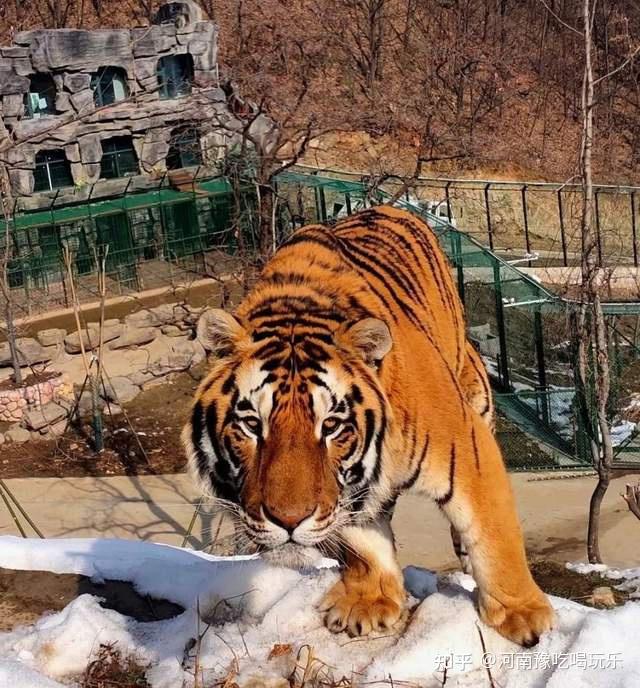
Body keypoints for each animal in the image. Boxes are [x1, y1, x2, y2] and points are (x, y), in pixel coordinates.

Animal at [184, 204, 556, 644]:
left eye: (330, 426)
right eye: (251, 425)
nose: (288, 522)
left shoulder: (468, 449)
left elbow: (493, 534)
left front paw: (523, 614)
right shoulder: (347, 495)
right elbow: (360, 540)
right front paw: (369, 601)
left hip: (474, 388)